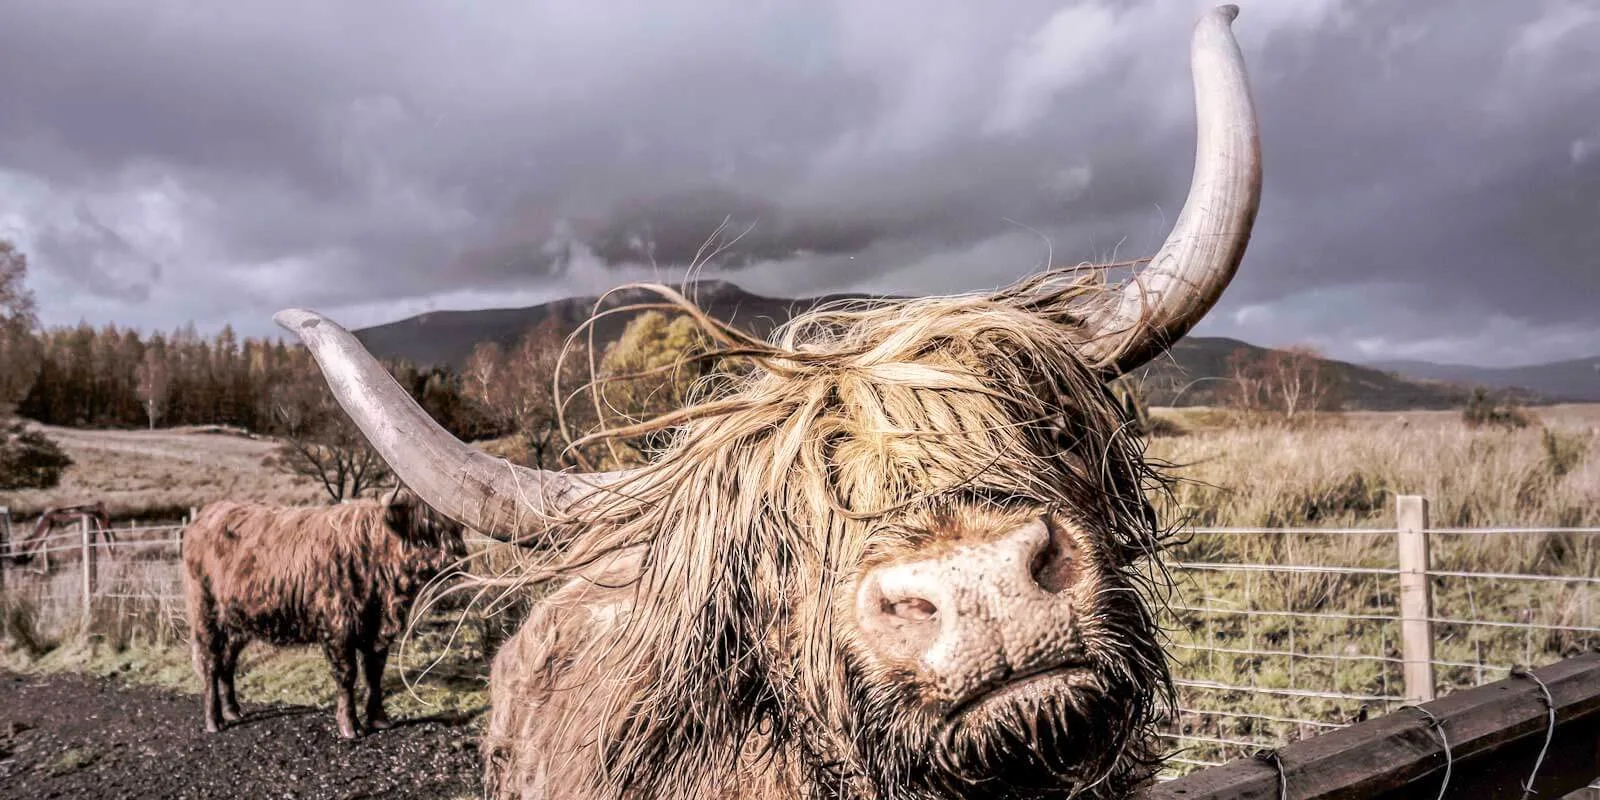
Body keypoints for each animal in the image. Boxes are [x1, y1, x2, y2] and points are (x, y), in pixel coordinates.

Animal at [184, 483, 467, 739]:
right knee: (211, 663)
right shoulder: (338, 628)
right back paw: (214, 720)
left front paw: (380, 719)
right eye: (426, 530)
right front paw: (350, 726)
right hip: (206, 613)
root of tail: (207, 514)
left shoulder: (375, 632)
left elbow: (374, 672)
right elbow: (347, 674)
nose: (459, 560)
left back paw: (233, 710)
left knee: (227, 662)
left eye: (456, 529)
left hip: (237, 622)